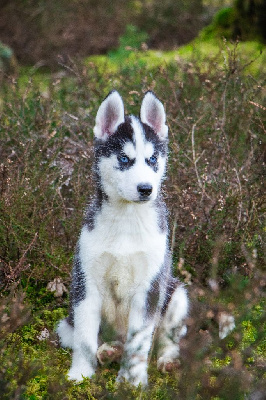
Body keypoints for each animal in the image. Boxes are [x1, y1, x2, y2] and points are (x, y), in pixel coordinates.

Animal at [57, 91, 188, 388]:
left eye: (152, 159)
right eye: (124, 159)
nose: (146, 189)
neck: (127, 221)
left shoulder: (149, 287)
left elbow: (140, 341)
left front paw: (133, 381)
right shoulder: (86, 282)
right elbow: (85, 338)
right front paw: (79, 374)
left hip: (176, 294)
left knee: (165, 338)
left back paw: (167, 360)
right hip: (65, 324)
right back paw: (110, 351)